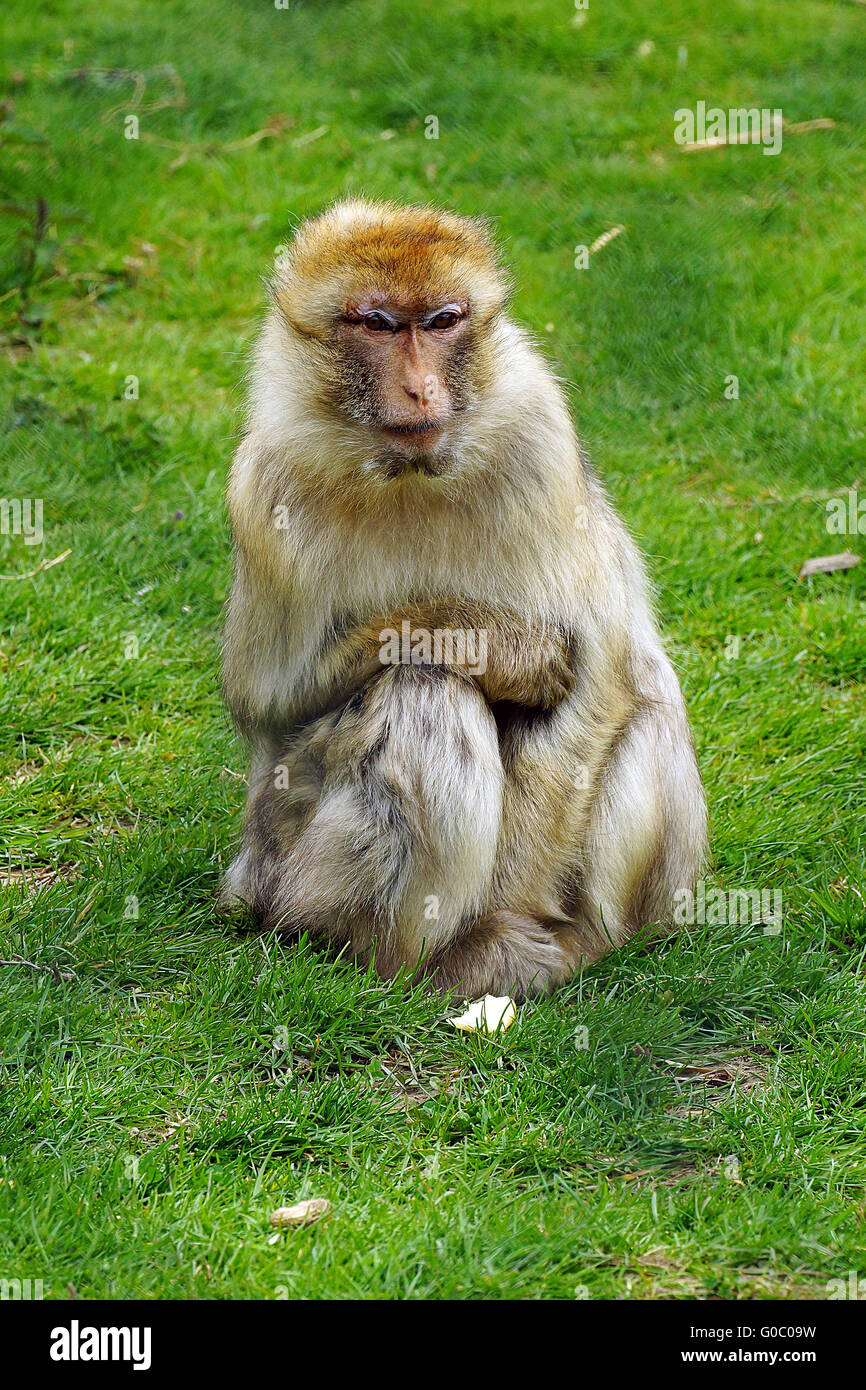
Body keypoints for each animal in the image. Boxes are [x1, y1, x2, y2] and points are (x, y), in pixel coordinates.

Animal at [219, 198, 708, 1000]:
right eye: (379, 325)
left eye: (443, 321)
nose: (420, 387)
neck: (411, 474)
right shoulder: (263, 487)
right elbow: (268, 700)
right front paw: (493, 645)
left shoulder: (542, 442)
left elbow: (595, 688)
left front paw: (512, 925)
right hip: (285, 869)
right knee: (423, 693)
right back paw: (397, 958)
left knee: (646, 691)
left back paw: (577, 942)